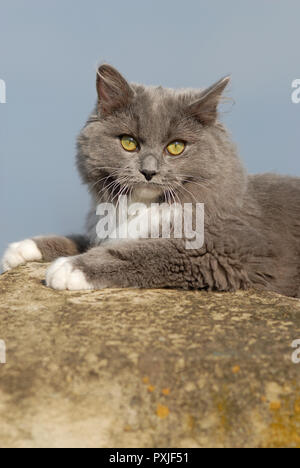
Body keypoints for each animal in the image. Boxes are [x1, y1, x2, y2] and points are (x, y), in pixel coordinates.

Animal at [2, 64, 300, 296]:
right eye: (129, 142)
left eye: (176, 147)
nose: (148, 171)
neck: (141, 208)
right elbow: (81, 238)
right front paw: (22, 249)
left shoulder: (222, 248)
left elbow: (147, 251)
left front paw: (71, 268)